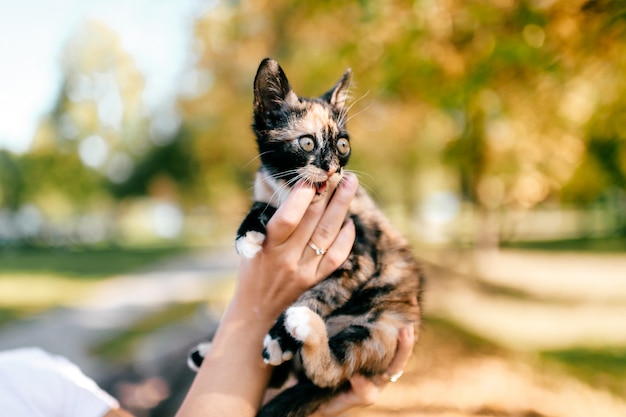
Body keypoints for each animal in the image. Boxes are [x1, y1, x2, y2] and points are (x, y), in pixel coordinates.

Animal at [188, 58, 422, 416]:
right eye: (307, 143)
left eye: (343, 145)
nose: (332, 168)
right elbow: (262, 204)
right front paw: (248, 234)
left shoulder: (360, 259)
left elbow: (317, 294)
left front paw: (279, 336)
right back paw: (207, 353)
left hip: (380, 329)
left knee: (330, 371)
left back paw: (303, 327)